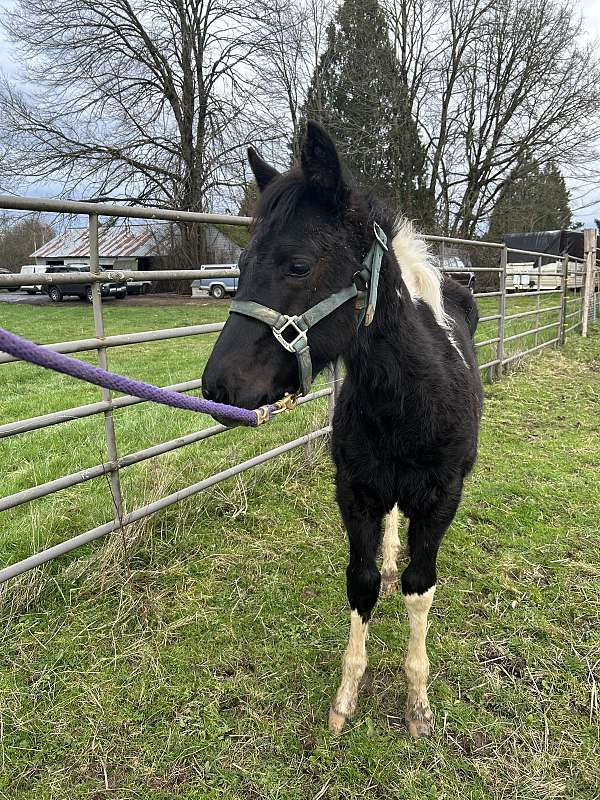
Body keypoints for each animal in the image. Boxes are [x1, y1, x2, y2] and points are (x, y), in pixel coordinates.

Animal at [202, 121, 483, 737]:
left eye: (299, 265)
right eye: (240, 265)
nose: (218, 388)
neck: (408, 404)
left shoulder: (441, 497)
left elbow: (420, 585)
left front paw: (417, 706)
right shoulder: (354, 494)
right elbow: (362, 582)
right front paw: (345, 699)